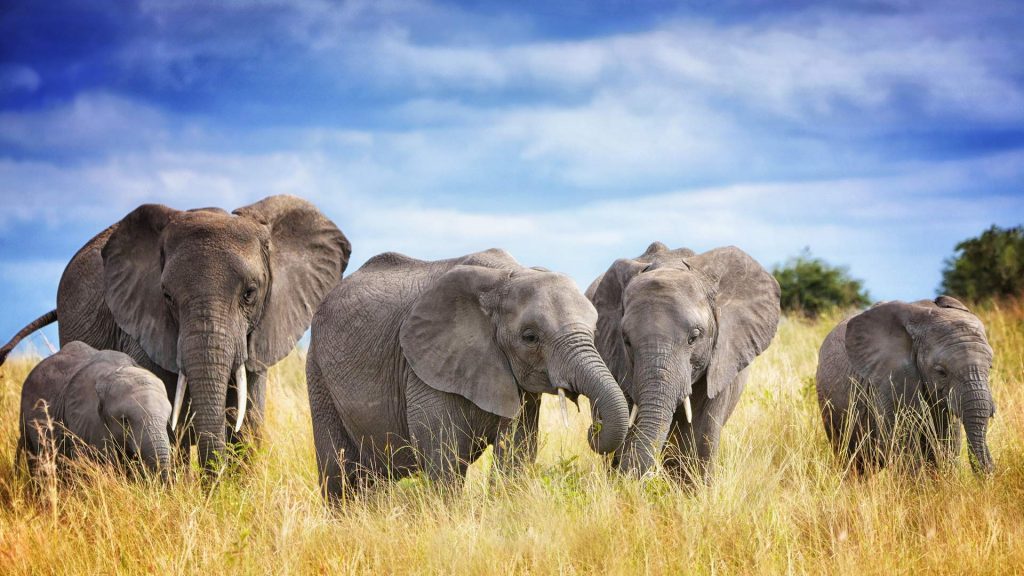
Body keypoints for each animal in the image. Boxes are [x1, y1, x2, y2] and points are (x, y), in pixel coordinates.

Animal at [303, 248, 626, 498]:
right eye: (530, 337)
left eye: (595, 330)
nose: (593, 429)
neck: (507, 277)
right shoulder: (425, 368)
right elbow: (444, 453)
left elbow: (516, 451)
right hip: (317, 370)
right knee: (339, 471)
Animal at [811, 293, 995, 473]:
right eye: (941, 372)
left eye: (990, 367)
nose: (991, 470)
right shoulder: (889, 381)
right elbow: (904, 443)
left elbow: (947, 441)